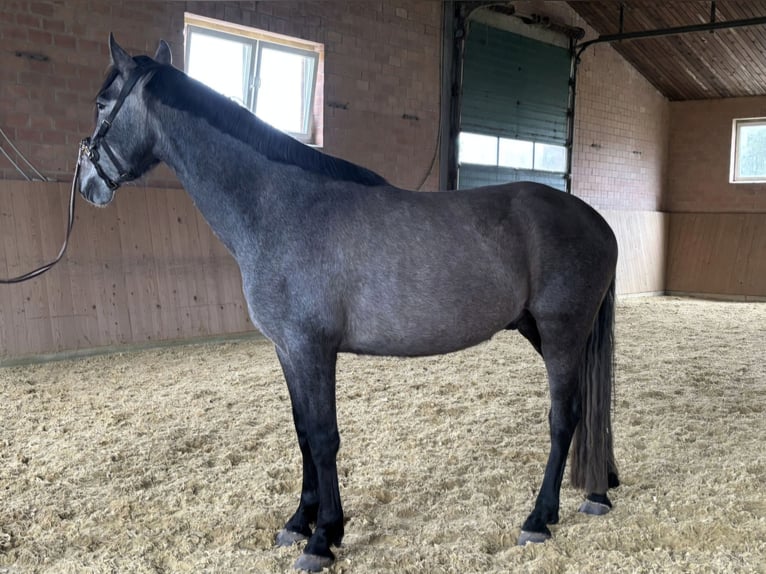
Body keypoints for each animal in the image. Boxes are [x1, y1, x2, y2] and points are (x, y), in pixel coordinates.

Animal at [78, 35, 620, 572]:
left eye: (102, 103)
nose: (87, 183)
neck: (281, 206)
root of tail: (597, 221)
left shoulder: (312, 349)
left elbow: (323, 439)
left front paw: (323, 538)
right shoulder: (288, 351)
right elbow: (302, 434)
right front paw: (299, 522)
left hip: (561, 332)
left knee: (564, 417)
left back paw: (539, 518)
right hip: (544, 331)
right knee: (589, 408)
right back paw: (599, 491)